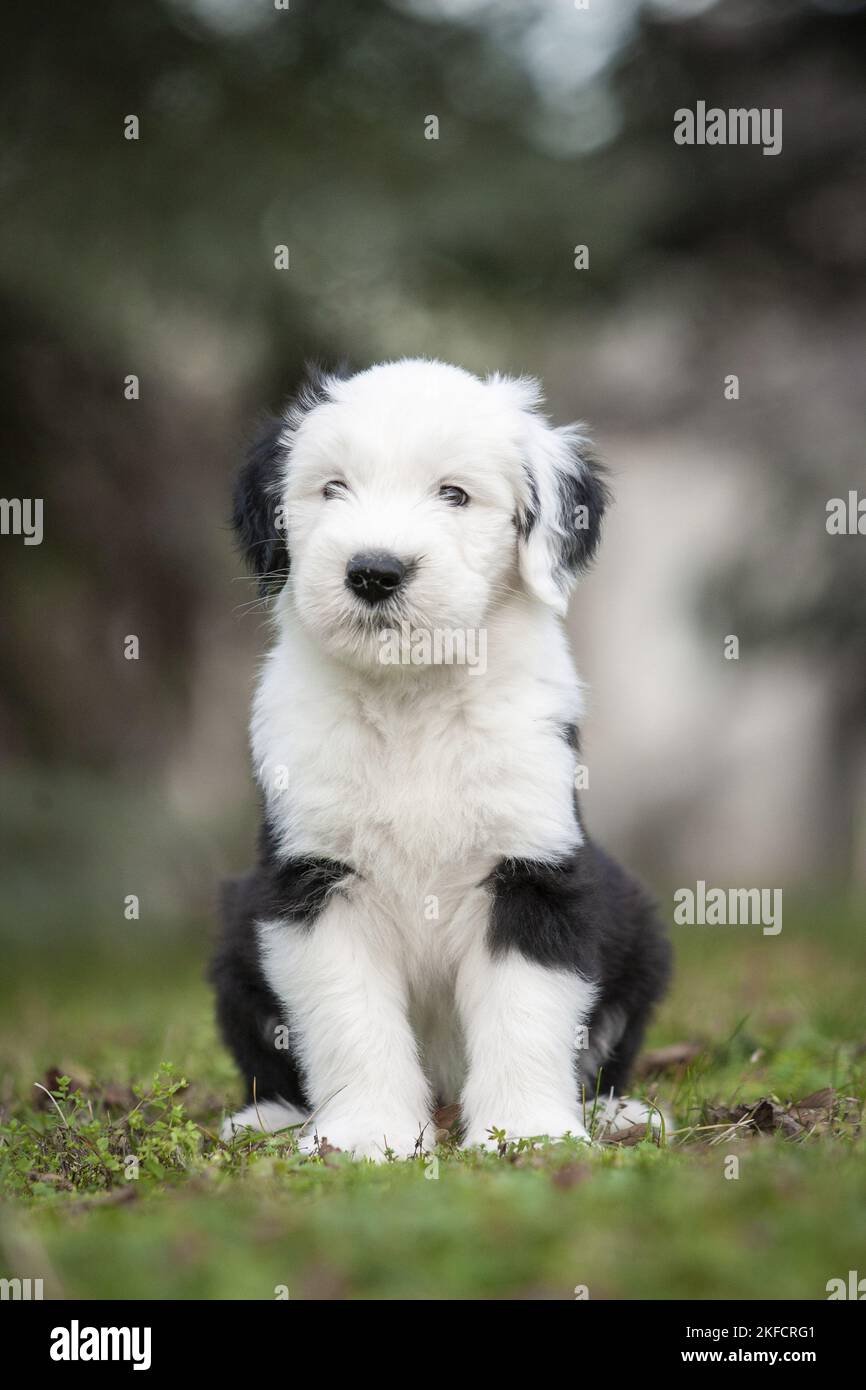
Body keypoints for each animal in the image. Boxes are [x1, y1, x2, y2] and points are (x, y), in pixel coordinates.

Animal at [214, 361, 675, 1162]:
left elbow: (528, 1013)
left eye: (454, 494)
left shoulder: (534, 870)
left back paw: (620, 1115)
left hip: (639, 932)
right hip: (236, 933)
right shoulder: (312, 883)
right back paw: (269, 1119)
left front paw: (527, 1134)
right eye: (332, 488)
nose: (374, 571)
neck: (413, 701)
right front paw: (365, 1137)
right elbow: (348, 1017)